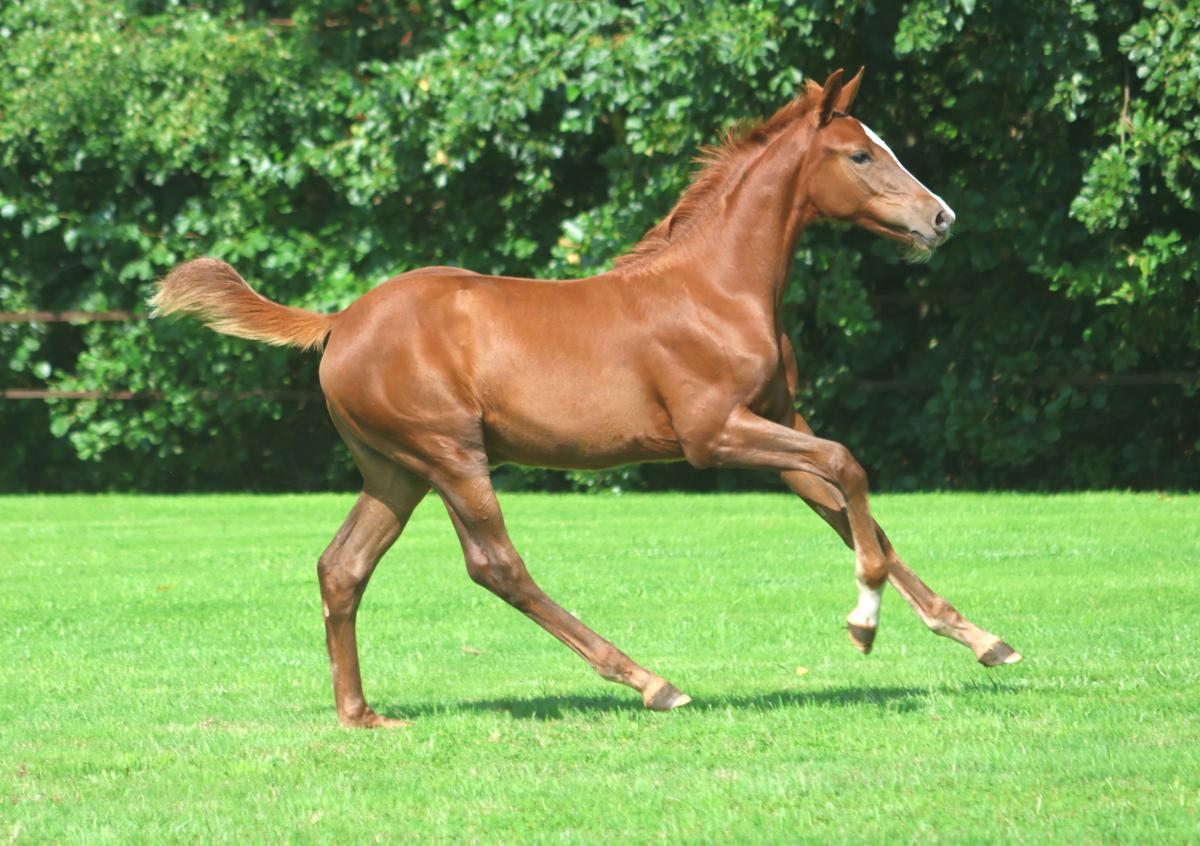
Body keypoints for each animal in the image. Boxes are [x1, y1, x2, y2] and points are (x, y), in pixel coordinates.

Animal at [151, 68, 1021, 728]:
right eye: (859, 155)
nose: (941, 217)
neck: (716, 289)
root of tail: (338, 322)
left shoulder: (775, 422)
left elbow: (850, 508)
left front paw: (982, 638)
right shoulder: (714, 434)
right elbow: (849, 468)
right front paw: (862, 625)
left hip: (393, 470)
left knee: (343, 566)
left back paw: (360, 714)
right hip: (449, 454)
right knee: (495, 565)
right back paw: (651, 682)